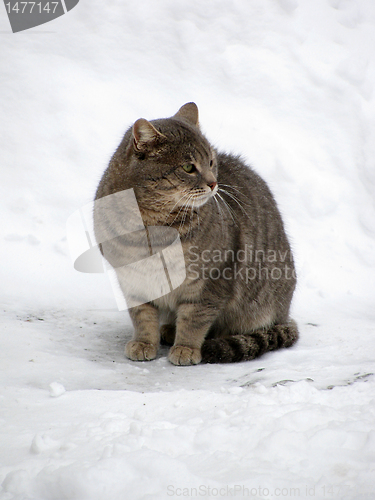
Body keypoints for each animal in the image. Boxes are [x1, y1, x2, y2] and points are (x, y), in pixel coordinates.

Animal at [94, 103, 300, 366]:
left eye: (211, 162)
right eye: (188, 167)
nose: (214, 184)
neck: (152, 229)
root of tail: (286, 314)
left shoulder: (211, 281)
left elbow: (195, 319)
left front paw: (186, 348)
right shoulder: (133, 280)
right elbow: (143, 316)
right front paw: (144, 343)